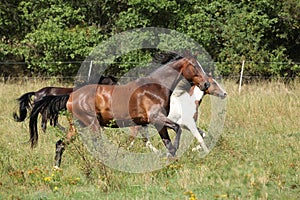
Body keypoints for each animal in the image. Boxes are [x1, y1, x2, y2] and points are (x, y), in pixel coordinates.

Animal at [29, 52, 210, 167]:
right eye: (194, 66)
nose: (206, 84)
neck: (156, 87)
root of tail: (70, 96)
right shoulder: (156, 119)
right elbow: (177, 129)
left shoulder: (157, 123)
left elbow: (169, 142)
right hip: (92, 124)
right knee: (99, 148)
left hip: (78, 126)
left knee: (60, 143)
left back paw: (57, 168)